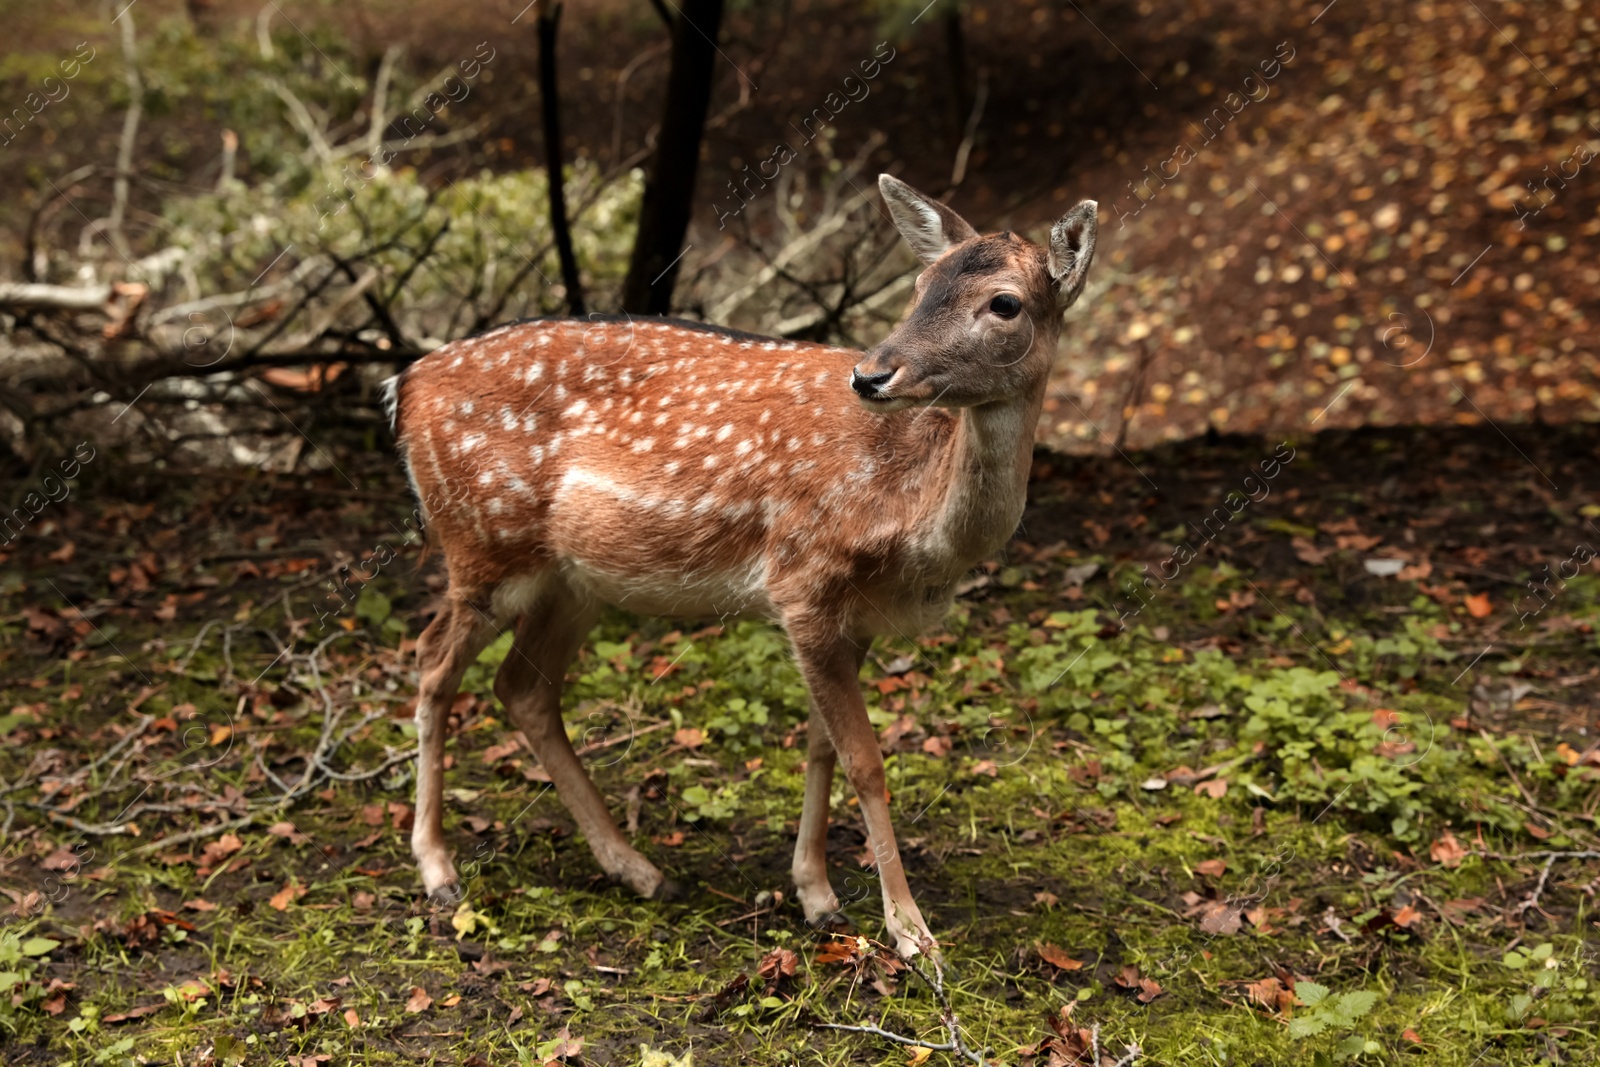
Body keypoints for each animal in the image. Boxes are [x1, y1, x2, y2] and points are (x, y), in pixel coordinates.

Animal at [384, 175, 1100, 959]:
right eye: (919, 285)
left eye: (1004, 303)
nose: (872, 374)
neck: (912, 519)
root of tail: (404, 383)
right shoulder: (803, 579)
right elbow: (866, 759)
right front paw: (912, 934)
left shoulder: (855, 616)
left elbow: (822, 746)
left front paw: (817, 894)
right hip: (483, 539)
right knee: (432, 662)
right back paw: (437, 867)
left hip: (573, 578)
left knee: (523, 686)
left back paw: (639, 869)